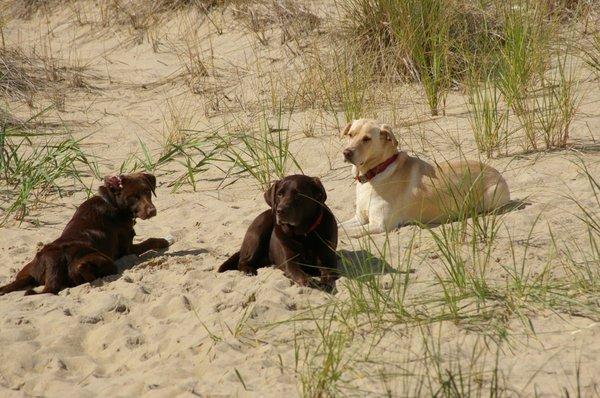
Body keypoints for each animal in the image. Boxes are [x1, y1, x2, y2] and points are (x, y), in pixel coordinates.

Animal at [340, 118, 508, 236]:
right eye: (350, 134)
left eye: (366, 139)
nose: (346, 152)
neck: (377, 171)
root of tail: (498, 173)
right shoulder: (359, 219)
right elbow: (341, 225)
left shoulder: (379, 225)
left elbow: (345, 233)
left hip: (490, 196)